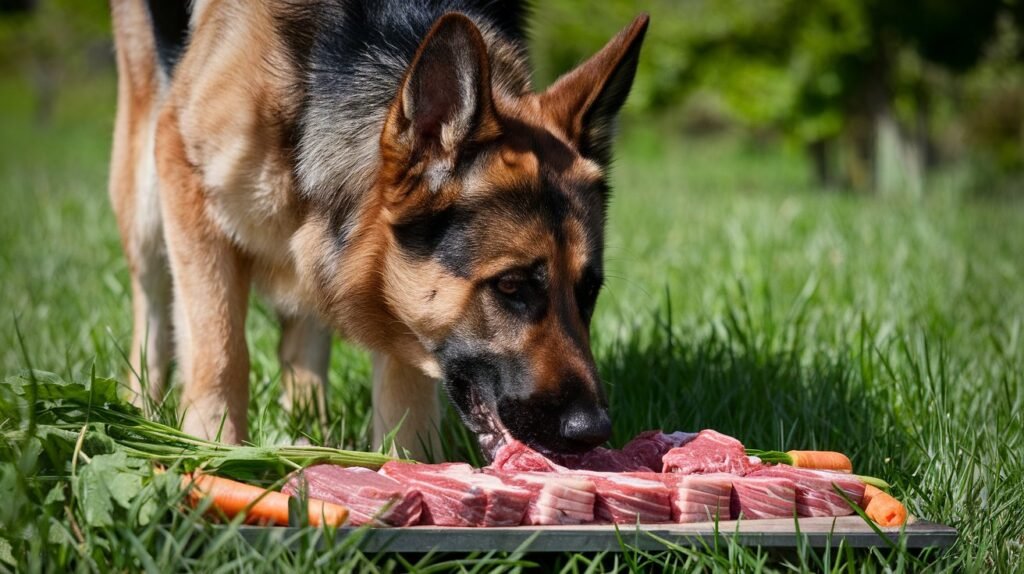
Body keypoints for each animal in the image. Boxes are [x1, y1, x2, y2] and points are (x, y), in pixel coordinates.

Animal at [110, 0, 647, 458]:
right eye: (511, 286)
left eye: (589, 292)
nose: (594, 431)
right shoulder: (184, 173)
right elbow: (220, 354)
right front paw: (210, 454)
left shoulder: (394, 301)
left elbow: (404, 405)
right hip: (146, 193)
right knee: (152, 312)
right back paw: (138, 414)